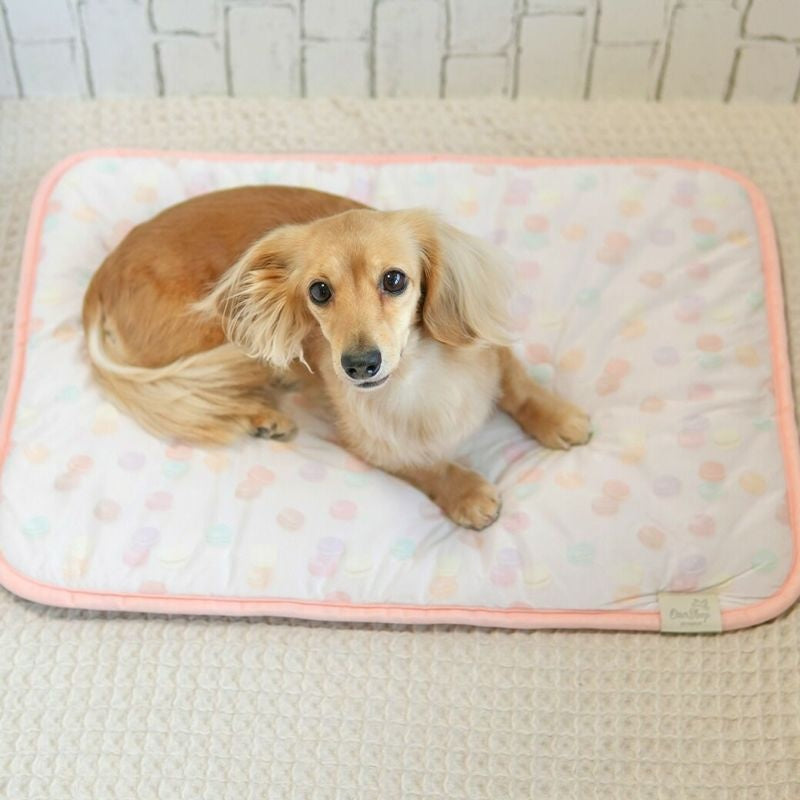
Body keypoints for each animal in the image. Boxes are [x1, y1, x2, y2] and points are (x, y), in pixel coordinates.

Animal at [82, 185, 590, 530]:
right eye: (319, 291)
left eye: (395, 280)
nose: (359, 365)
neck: (417, 372)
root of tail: (103, 272)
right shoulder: (369, 440)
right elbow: (425, 465)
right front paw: (465, 492)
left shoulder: (486, 350)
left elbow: (519, 384)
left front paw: (557, 417)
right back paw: (261, 416)